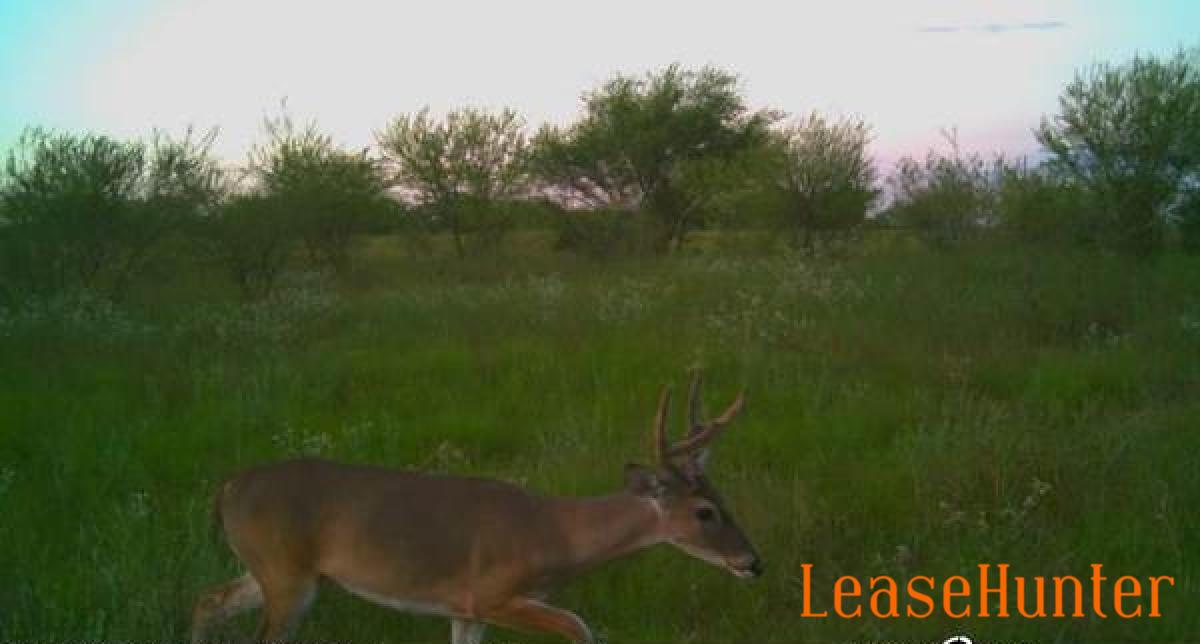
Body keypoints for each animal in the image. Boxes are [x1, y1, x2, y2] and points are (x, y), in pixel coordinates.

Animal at [190, 371, 761, 644]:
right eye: (705, 512)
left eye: (725, 500)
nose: (753, 563)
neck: (555, 534)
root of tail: (227, 487)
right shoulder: (490, 594)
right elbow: (581, 627)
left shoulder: (462, 610)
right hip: (288, 578)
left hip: (270, 570)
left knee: (205, 600)